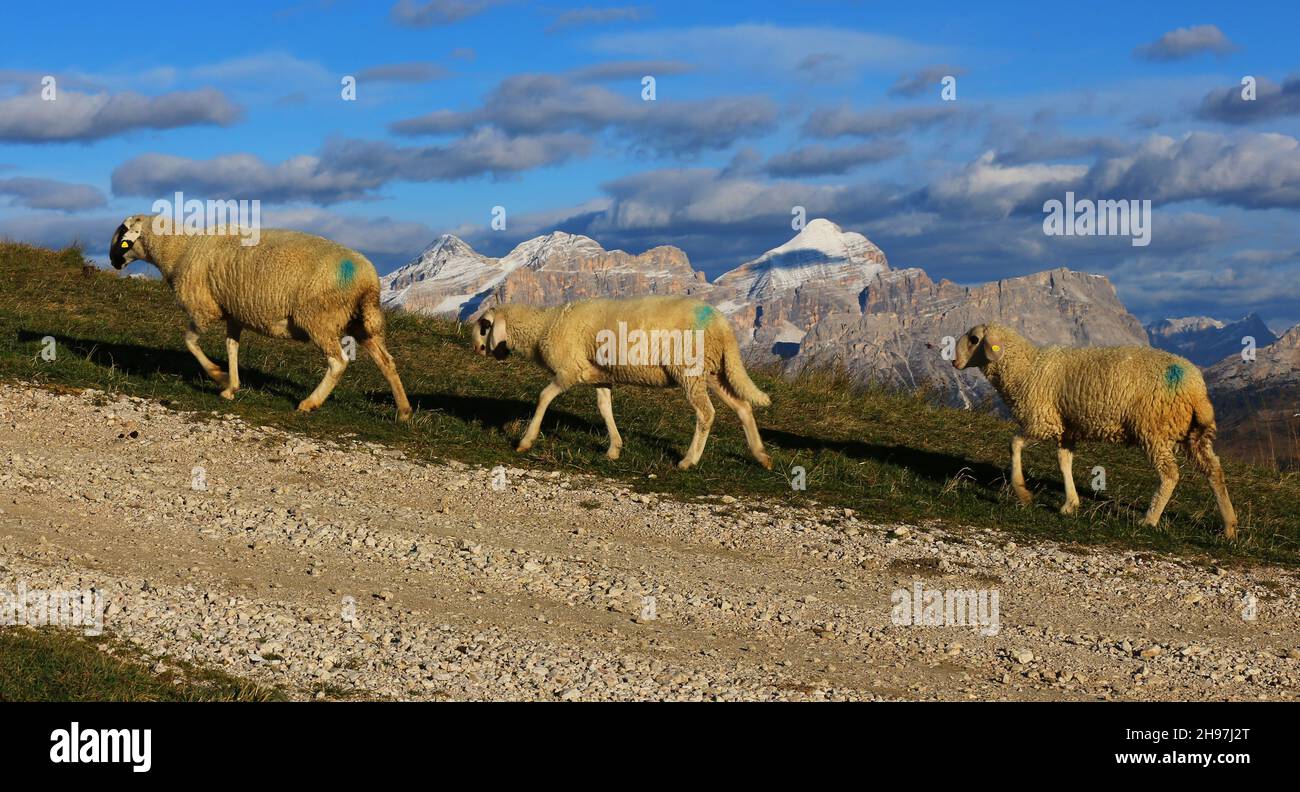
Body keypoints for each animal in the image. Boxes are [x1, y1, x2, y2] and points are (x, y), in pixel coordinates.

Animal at [116, 210, 413, 421]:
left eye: (123, 235)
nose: (113, 261)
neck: (179, 249)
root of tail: (369, 281)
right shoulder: (234, 313)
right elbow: (231, 346)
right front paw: (231, 386)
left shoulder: (204, 308)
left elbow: (190, 341)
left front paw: (218, 375)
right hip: (360, 323)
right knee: (386, 361)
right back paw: (404, 412)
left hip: (319, 319)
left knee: (338, 362)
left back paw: (310, 403)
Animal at [470, 296, 769, 468]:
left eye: (484, 327)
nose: (477, 349)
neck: (544, 325)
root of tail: (724, 326)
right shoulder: (599, 375)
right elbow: (605, 409)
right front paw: (614, 448)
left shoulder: (570, 369)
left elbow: (544, 397)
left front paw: (525, 441)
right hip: (714, 371)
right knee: (743, 406)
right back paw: (762, 456)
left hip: (689, 369)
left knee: (706, 413)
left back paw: (688, 460)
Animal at [956, 321, 1237, 538]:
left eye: (974, 339)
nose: (953, 361)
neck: (1024, 367)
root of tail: (1195, 387)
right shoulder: (1066, 429)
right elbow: (1064, 462)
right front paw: (1070, 504)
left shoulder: (1042, 421)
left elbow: (1013, 443)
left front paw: (1023, 493)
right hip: (1193, 436)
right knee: (1214, 471)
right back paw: (1229, 527)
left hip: (1153, 430)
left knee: (1170, 474)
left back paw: (1150, 519)